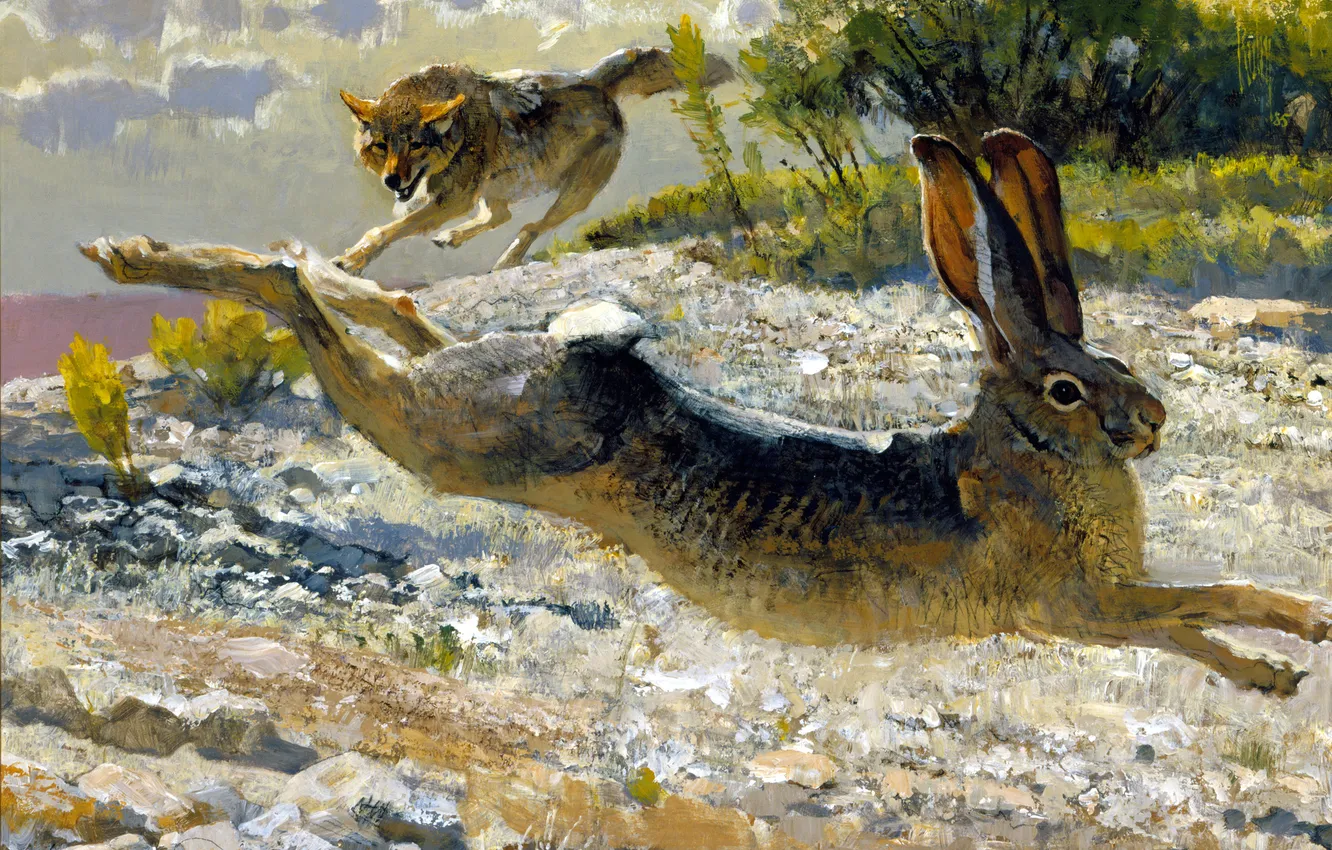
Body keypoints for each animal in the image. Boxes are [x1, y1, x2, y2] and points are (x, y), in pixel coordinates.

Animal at [81, 129, 1331, 694]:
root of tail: (575, 353)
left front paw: (1296, 637)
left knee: (394, 311)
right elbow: (1180, 613)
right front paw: (1276, 662)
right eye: (1070, 389)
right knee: (301, 296)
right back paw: (135, 252)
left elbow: (1207, 599)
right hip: (449, 441)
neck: (1018, 452)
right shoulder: (1069, 602)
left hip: (463, 399)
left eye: (1114, 358)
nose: (1152, 422)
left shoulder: (1090, 599)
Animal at [332, 47, 734, 274]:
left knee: (529, 226)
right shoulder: (451, 198)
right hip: (497, 191)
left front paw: (352, 260)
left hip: (575, 194)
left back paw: (505, 260)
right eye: (381, 146)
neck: (459, 129)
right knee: (502, 216)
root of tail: (595, 82)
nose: (392, 182)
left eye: (416, 145)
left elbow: (386, 230)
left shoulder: (453, 200)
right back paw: (453, 238)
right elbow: (397, 223)